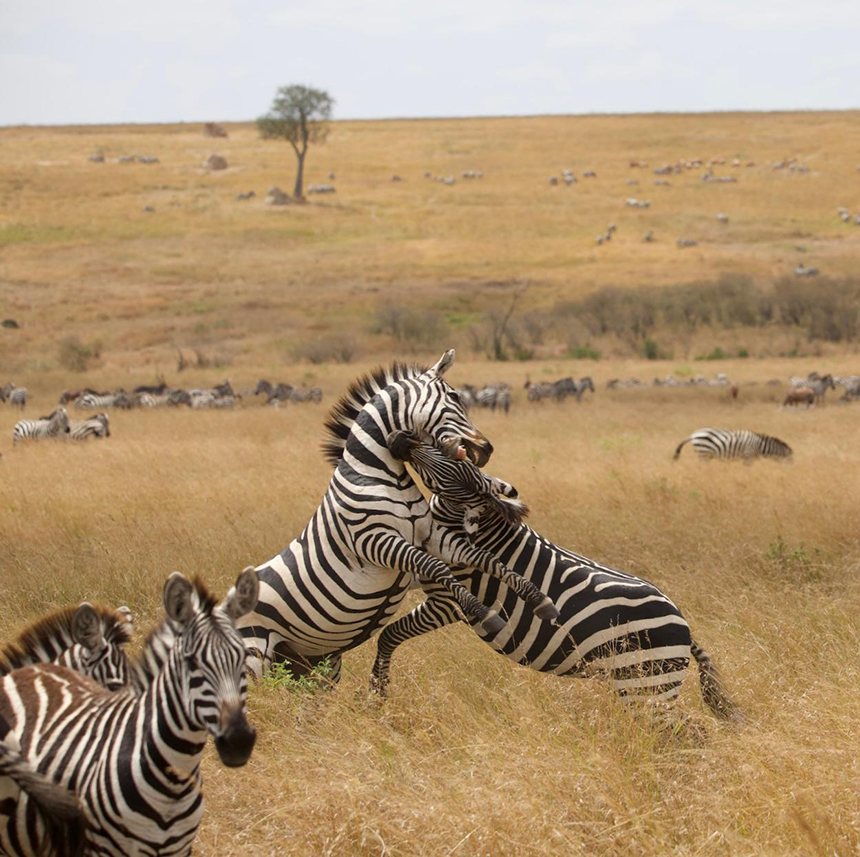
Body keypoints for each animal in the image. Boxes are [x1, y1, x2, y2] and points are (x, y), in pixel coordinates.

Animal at [235, 348, 552, 684]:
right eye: (455, 396)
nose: (487, 448)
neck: (377, 475)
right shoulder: (374, 539)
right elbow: (437, 567)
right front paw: (485, 613)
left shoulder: (430, 535)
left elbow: (485, 559)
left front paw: (538, 599)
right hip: (255, 654)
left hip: (310, 662)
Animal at [376, 432, 740, 720]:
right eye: (447, 449)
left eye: (445, 477)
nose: (400, 438)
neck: (481, 531)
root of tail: (685, 630)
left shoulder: (447, 602)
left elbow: (391, 633)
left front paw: (377, 691)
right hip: (643, 685)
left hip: (646, 685)